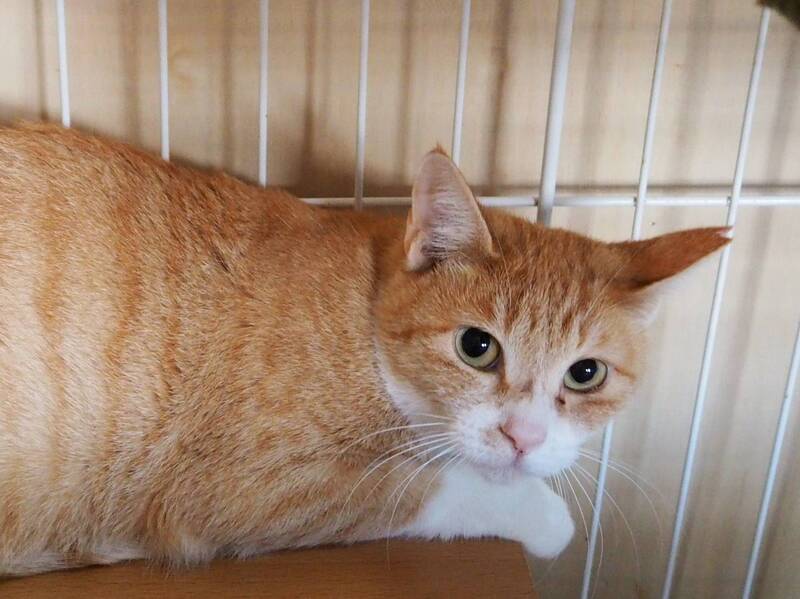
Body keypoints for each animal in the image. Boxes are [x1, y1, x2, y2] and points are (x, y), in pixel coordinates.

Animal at [0, 123, 728, 577]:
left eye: (586, 373)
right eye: (476, 346)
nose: (523, 436)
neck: (362, 317)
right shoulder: (241, 490)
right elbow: (429, 487)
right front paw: (542, 513)